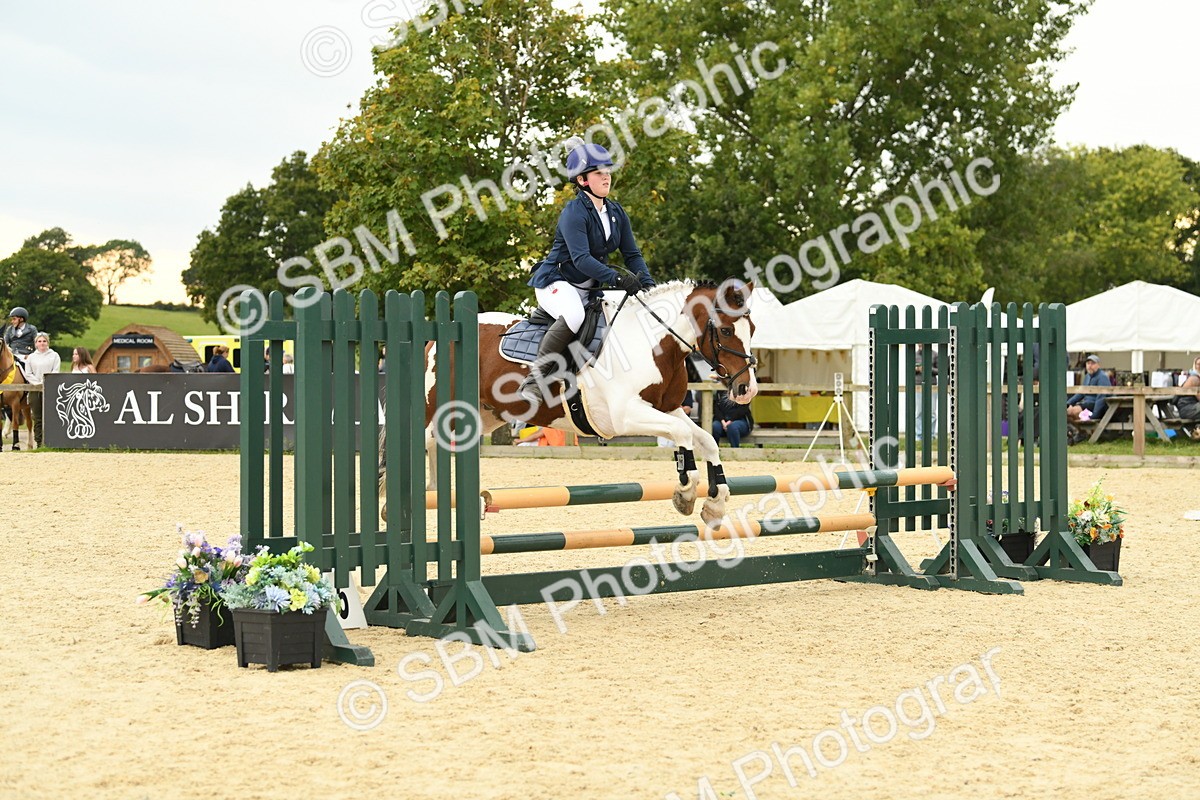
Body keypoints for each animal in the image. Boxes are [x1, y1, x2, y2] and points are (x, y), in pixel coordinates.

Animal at [382, 280, 760, 528]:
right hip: (436, 411)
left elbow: (706, 439)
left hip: (482, 415)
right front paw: (685, 492)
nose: (746, 390)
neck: (654, 343)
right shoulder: (625, 417)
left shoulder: (667, 409)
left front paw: (715, 503)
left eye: (752, 328)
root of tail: (437, 335)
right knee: (420, 444)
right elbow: (682, 436)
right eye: (726, 331)